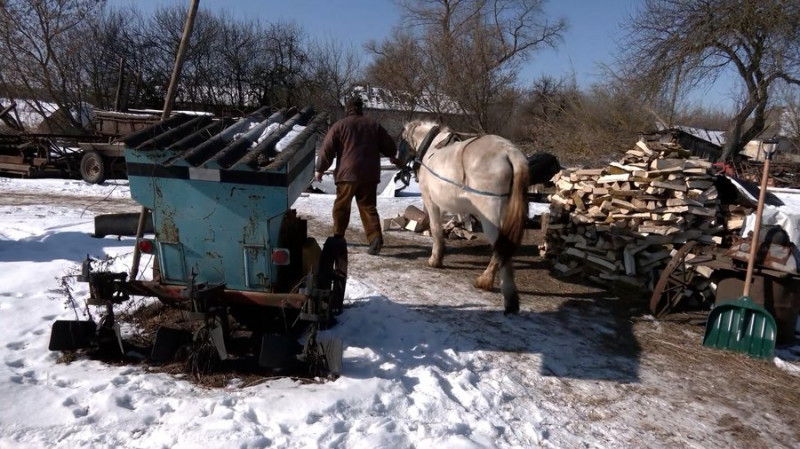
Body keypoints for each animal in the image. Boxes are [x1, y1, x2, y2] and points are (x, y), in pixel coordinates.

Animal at [396, 121, 528, 314]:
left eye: (402, 139)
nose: (397, 161)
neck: (430, 149)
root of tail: (509, 152)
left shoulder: (431, 201)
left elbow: (435, 229)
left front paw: (435, 259)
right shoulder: (443, 204)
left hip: (490, 216)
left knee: (500, 247)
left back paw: (487, 282)